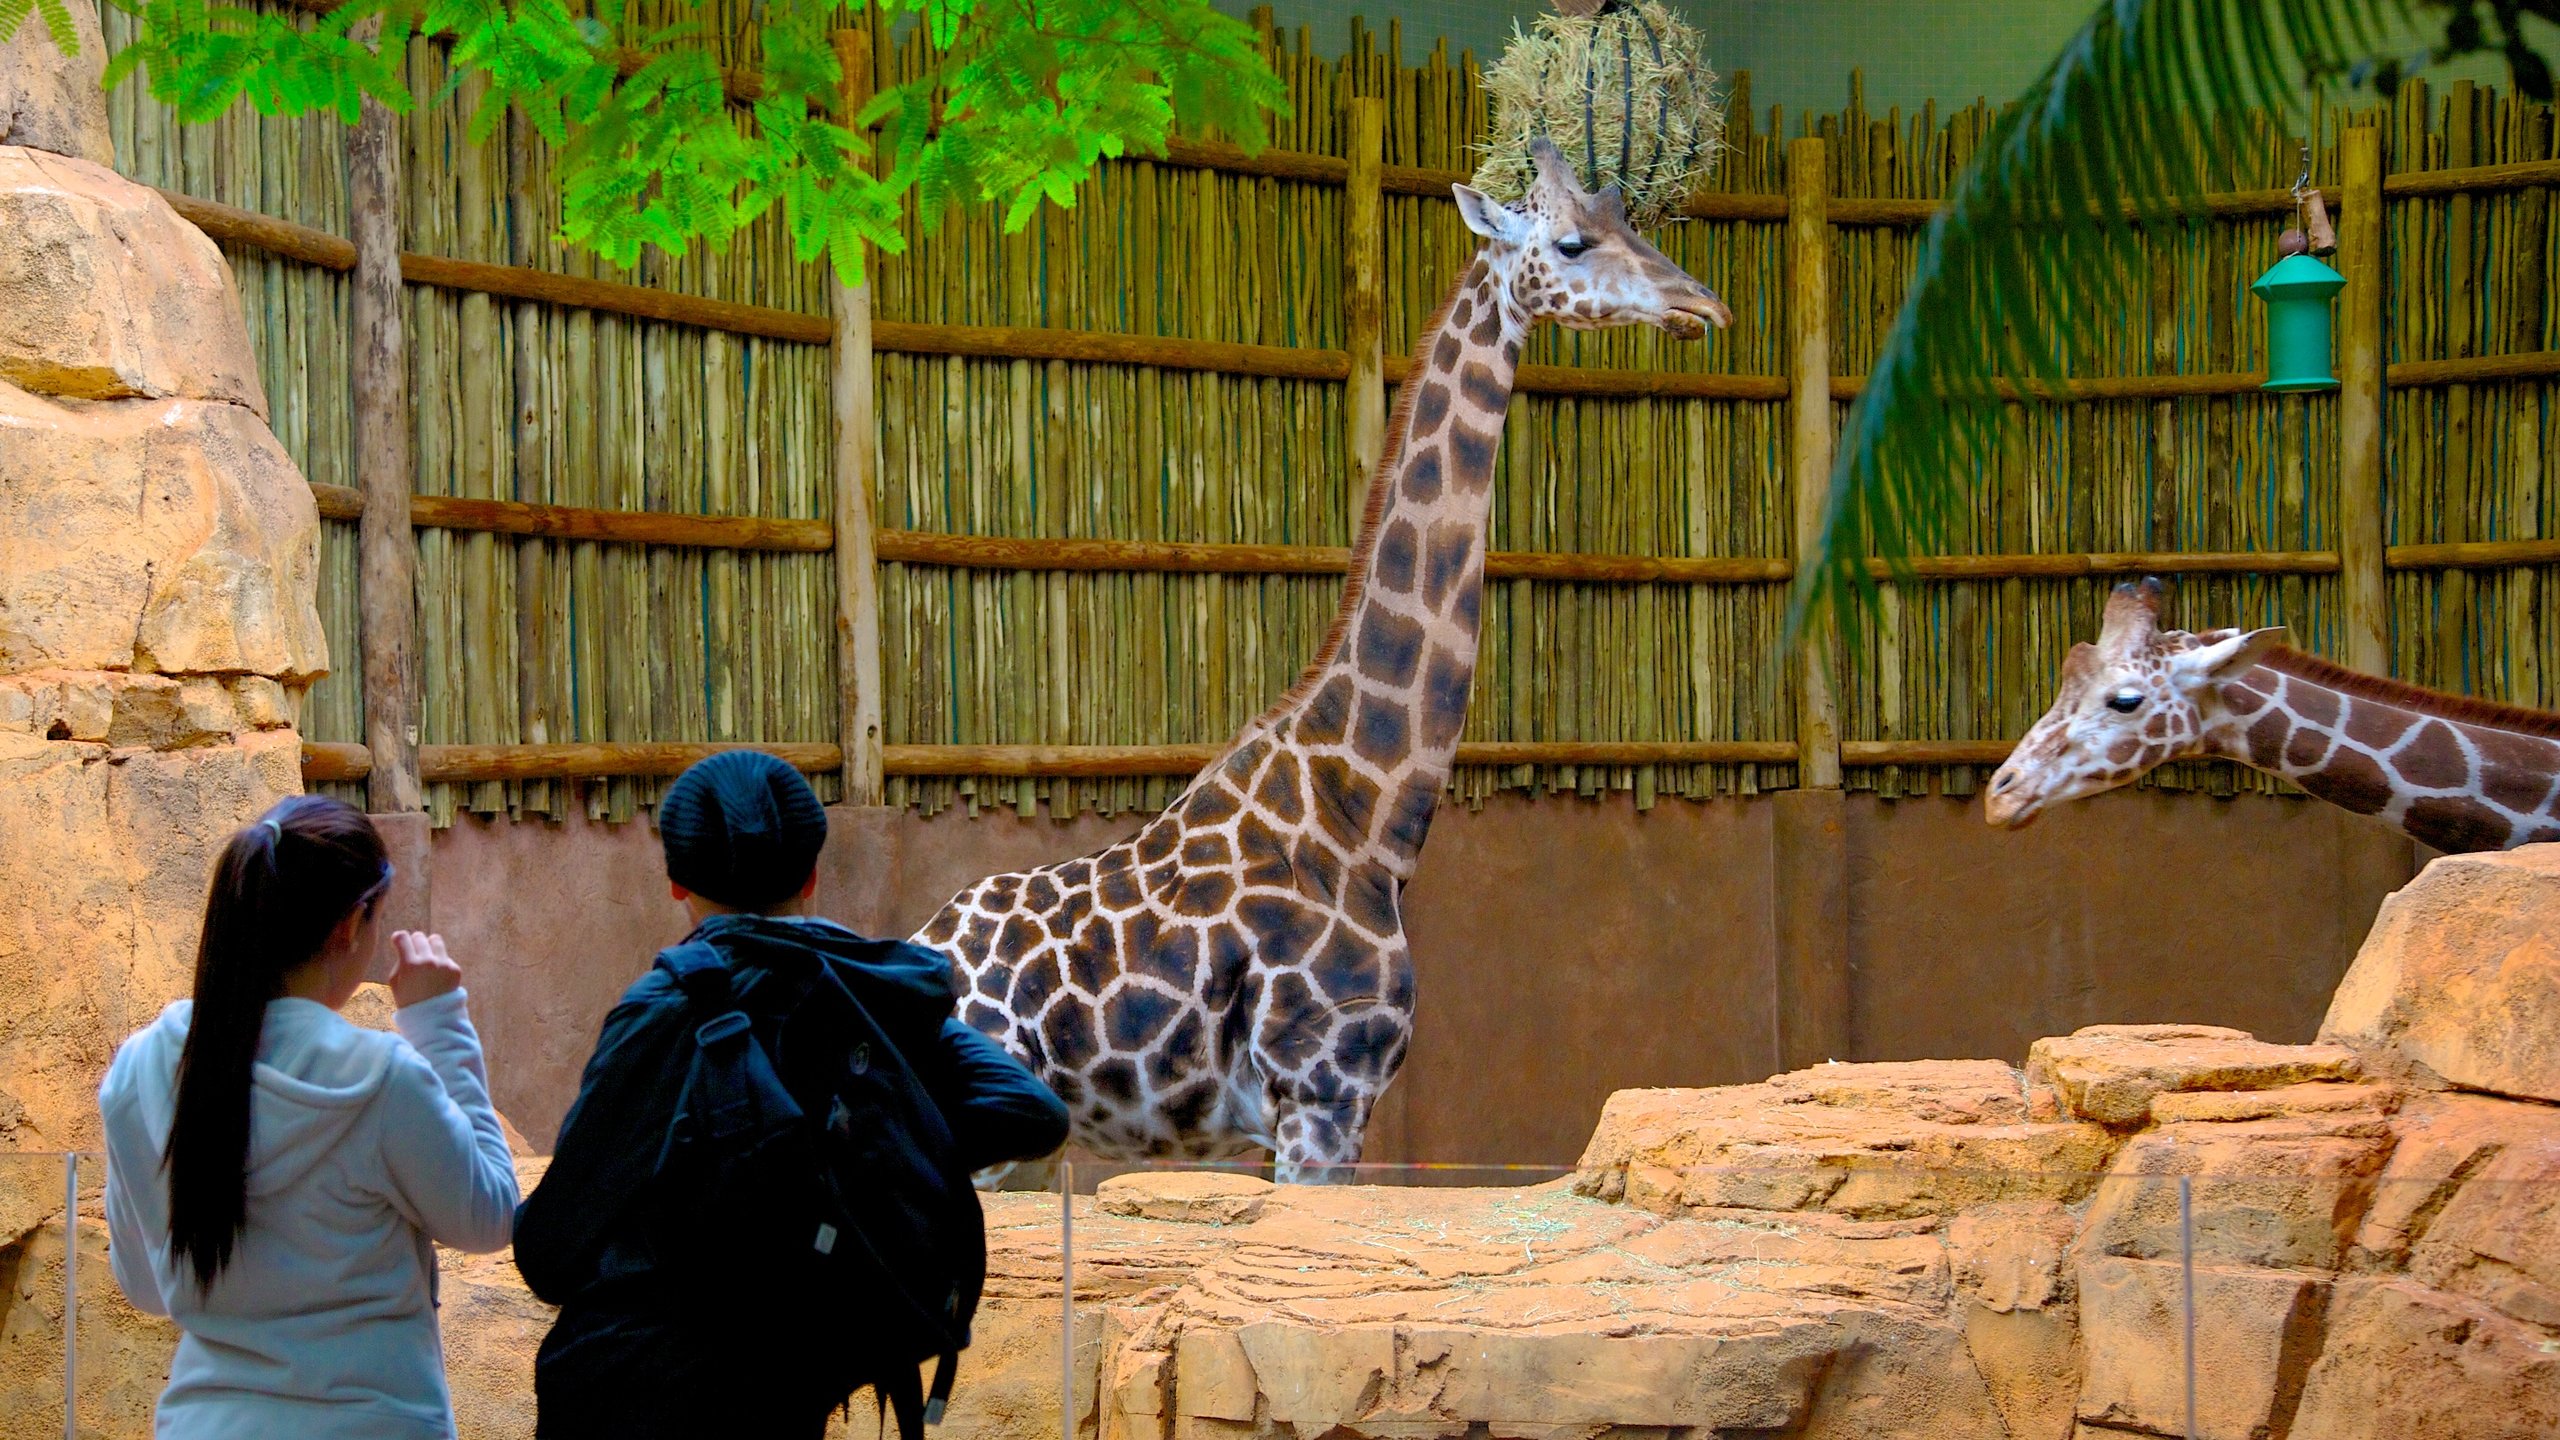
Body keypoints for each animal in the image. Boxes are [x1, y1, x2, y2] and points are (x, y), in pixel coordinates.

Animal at [911, 142, 1730, 1178]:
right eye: (1573, 242)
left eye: (1634, 218)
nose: (1705, 306)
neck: (1366, 812)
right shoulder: (1323, 1098)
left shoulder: (1303, 1119)